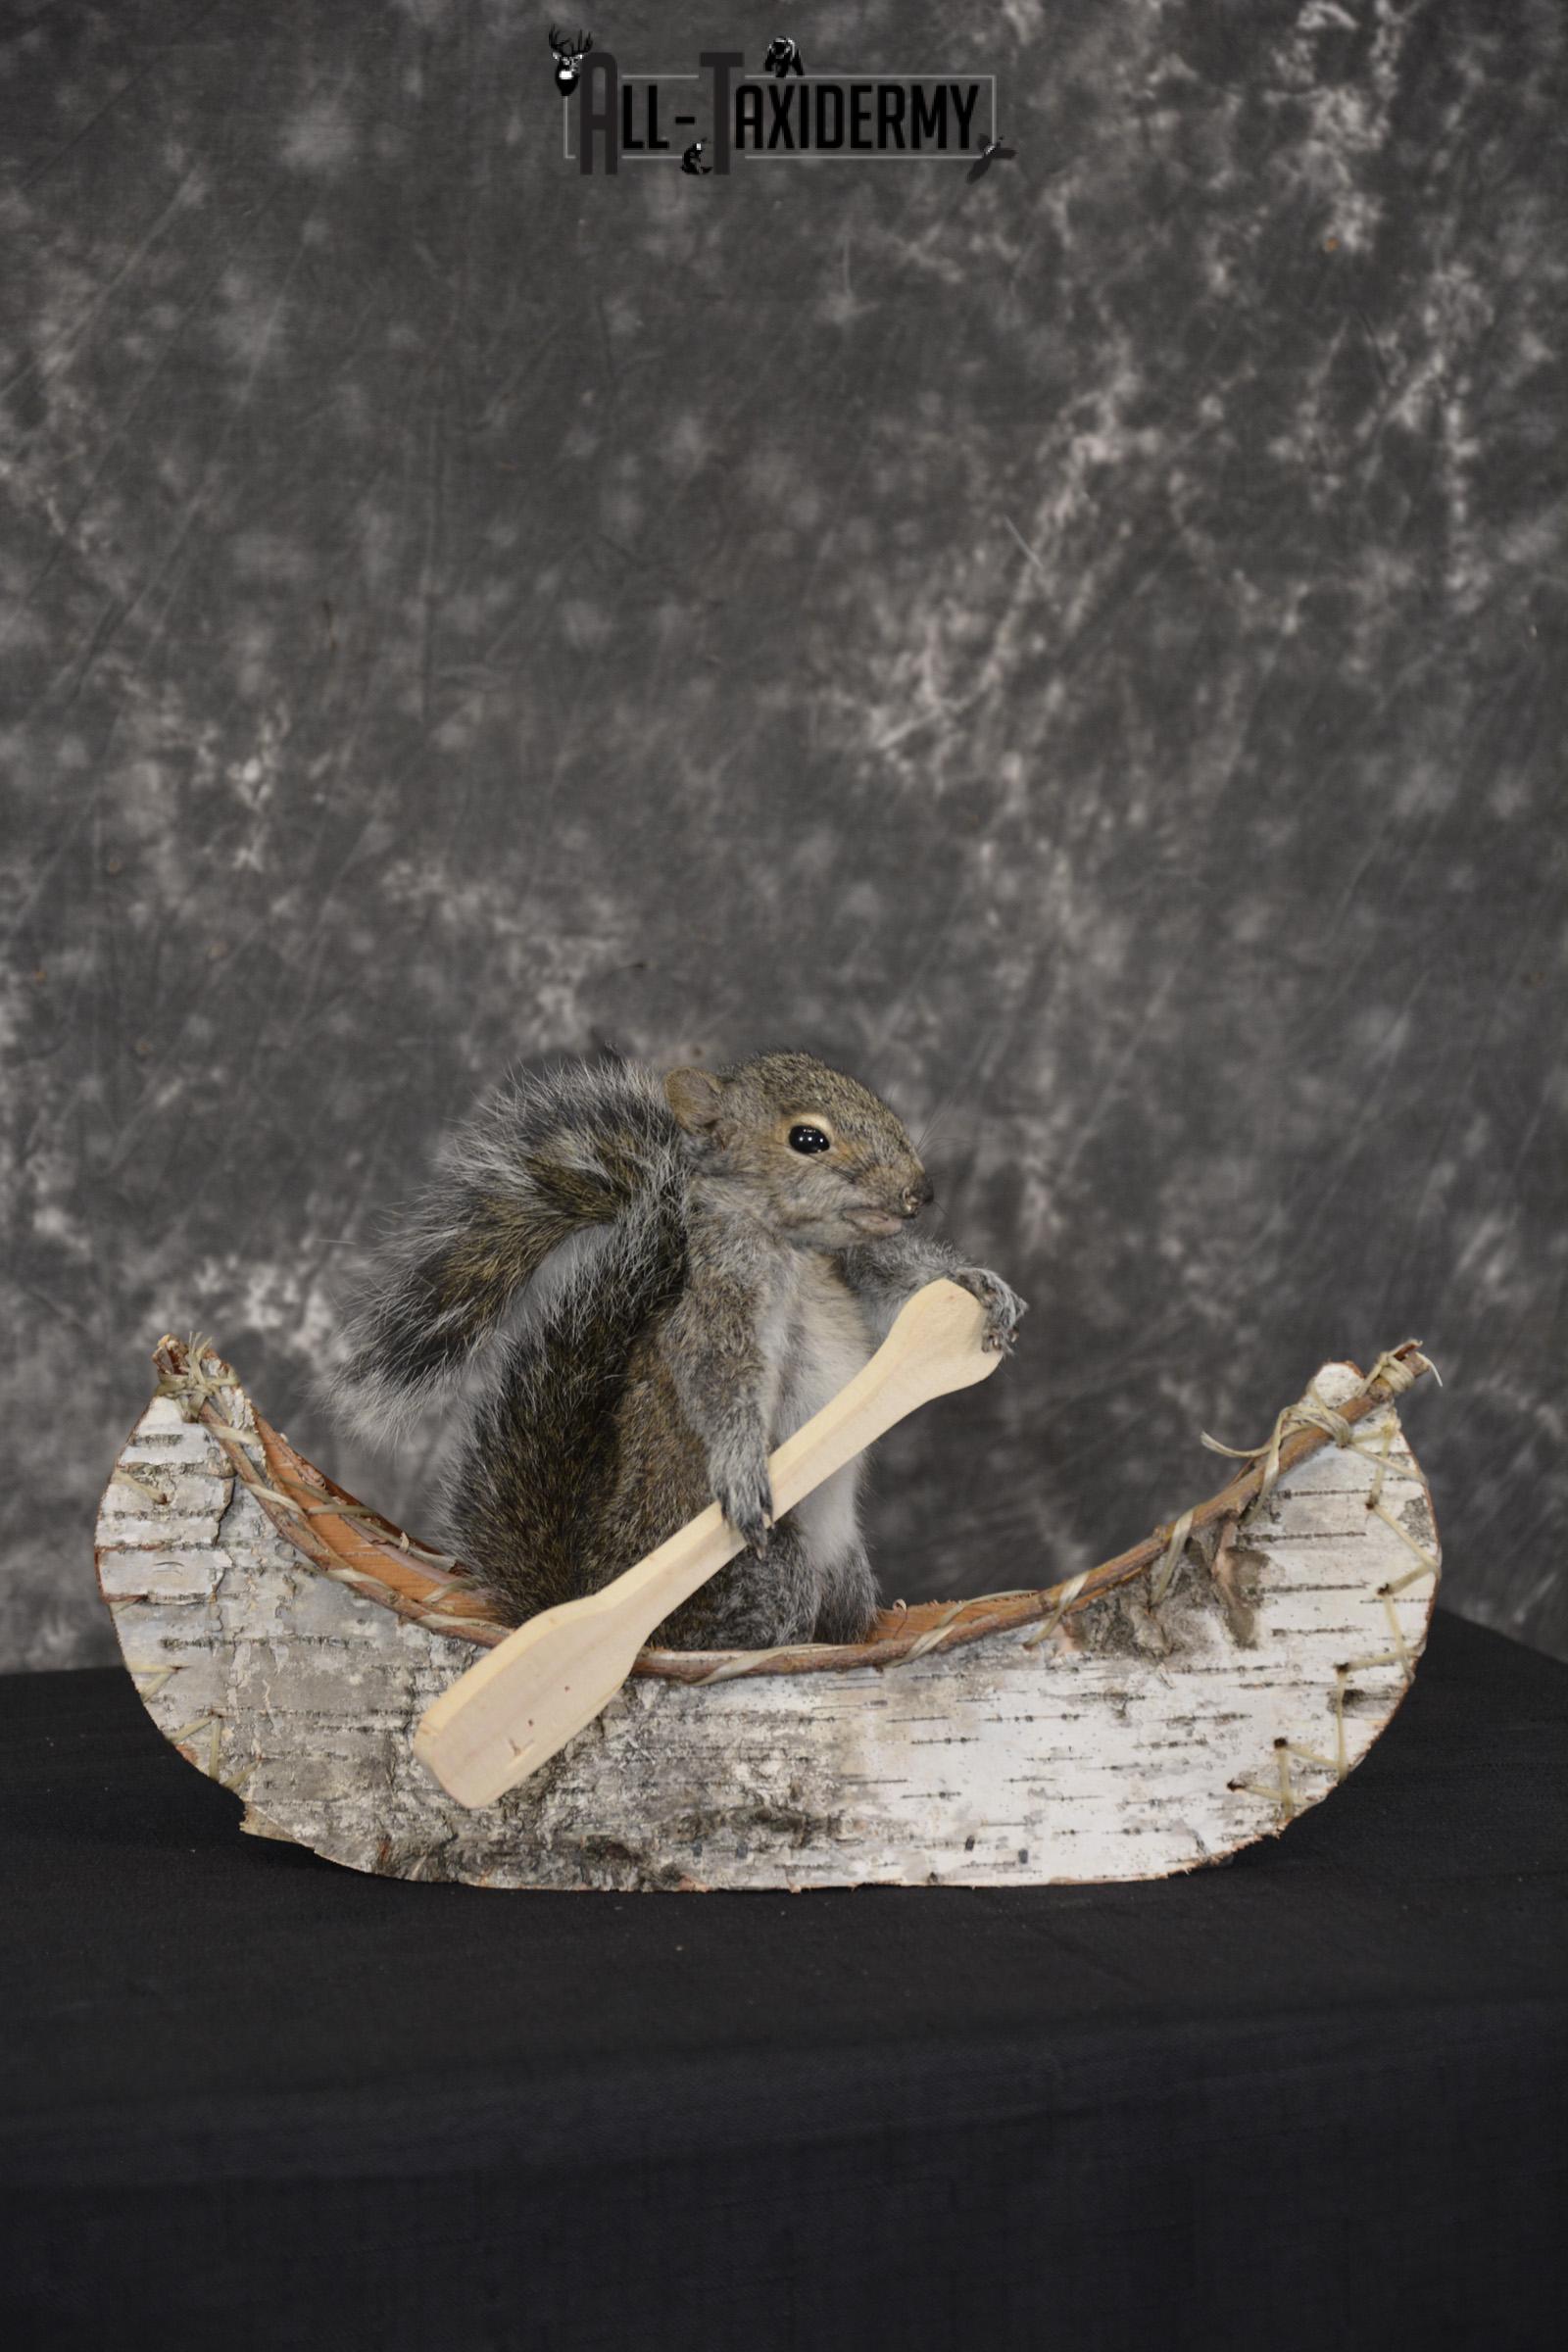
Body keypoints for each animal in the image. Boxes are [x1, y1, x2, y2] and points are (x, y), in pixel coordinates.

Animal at [325, 1050, 1026, 1652]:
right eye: (807, 1140)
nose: (920, 1193)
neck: (798, 1253)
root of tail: (593, 1589)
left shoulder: (853, 1268)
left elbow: (897, 1285)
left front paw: (979, 1286)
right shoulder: (720, 1310)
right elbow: (720, 1382)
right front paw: (741, 1466)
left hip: (846, 1574)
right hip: (770, 1573)